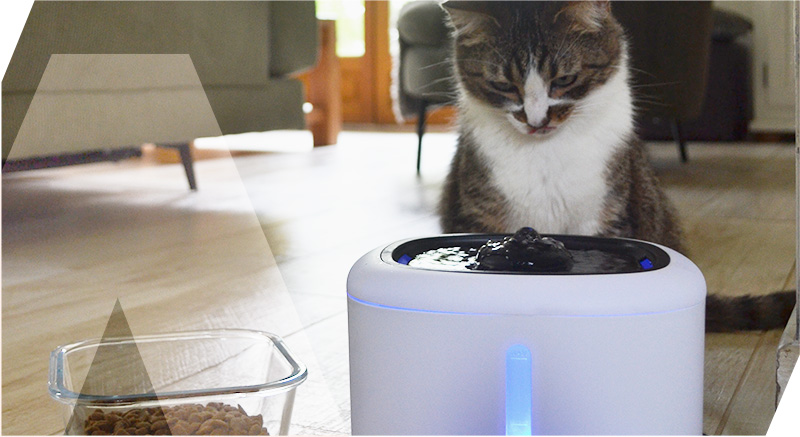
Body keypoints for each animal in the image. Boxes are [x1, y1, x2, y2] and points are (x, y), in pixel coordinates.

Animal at [438, 0, 792, 330]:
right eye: (503, 86)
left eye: (564, 79)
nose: (536, 122)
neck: (545, 152)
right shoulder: (482, 212)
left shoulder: (604, 213)